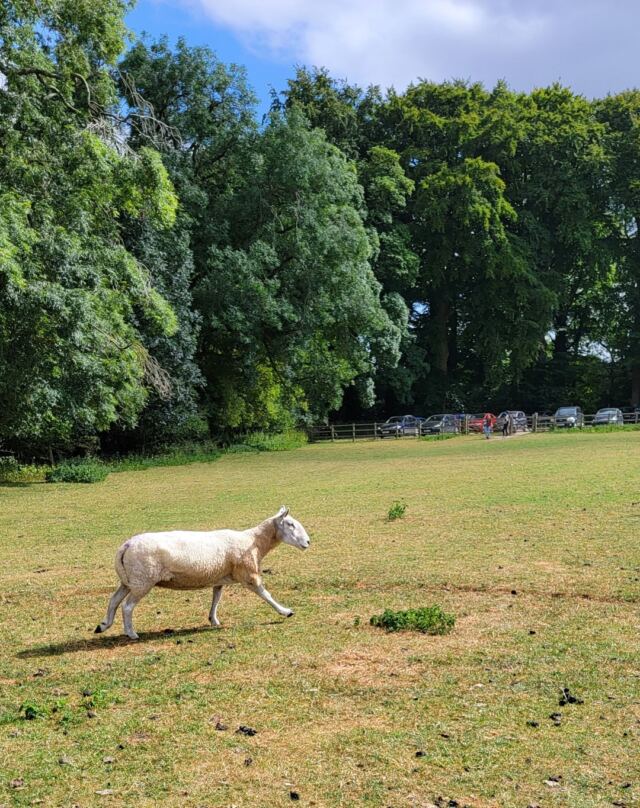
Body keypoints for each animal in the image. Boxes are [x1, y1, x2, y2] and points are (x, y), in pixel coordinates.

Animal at [95, 506, 310, 640]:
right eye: (290, 524)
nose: (308, 542)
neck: (254, 542)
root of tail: (126, 545)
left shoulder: (219, 577)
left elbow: (216, 599)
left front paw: (213, 620)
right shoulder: (248, 573)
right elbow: (266, 594)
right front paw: (285, 611)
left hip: (130, 580)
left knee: (114, 601)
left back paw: (103, 625)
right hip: (143, 580)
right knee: (127, 606)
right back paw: (131, 633)